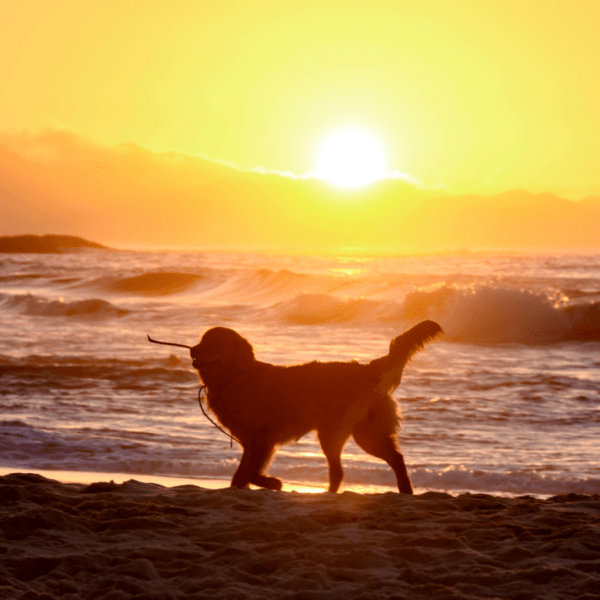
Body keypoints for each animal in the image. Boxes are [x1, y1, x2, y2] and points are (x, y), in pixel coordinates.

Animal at [190, 322, 442, 494]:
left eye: (217, 343)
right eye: (202, 340)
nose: (193, 349)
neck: (234, 378)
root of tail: (365, 370)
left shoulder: (263, 439)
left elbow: (251, 473)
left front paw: (272, 483)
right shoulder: (250, 443)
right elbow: (240, 476)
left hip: (334, 433)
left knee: (342, 471)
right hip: (365, 434)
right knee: (394, 459)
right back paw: (404, 491)